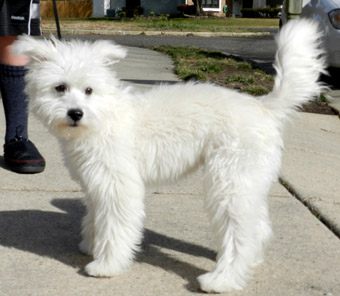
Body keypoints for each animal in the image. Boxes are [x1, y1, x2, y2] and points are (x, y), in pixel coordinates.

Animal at [13, 19, 326, 292]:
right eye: (60, 87)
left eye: (89, 90)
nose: (75, 113)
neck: (103, 116)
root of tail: (263, 106)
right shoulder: (95, 184)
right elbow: (95, 217)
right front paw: (90, 245)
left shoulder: (119, 187)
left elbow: (115, 226)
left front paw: (106, 264)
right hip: (247, 182)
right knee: (257, 227)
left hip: (229, 183)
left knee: (240, 235)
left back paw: (222, 280)